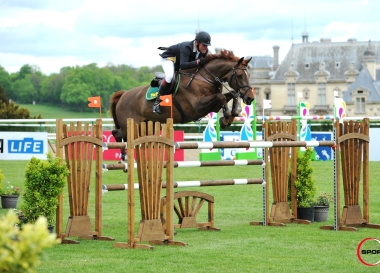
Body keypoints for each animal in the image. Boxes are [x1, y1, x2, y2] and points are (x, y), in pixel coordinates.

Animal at [108, 49, 254, 157]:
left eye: (249, 75)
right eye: (240, 76)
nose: (250, 98)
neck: (205, 78)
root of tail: (123, 95)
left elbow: (232, 94)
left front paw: (229, 117)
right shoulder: (196, 107)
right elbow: (221, 97)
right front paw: (226, 117)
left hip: (146, 124)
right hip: (131, 125)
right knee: (117, 133)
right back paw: (124, 157)